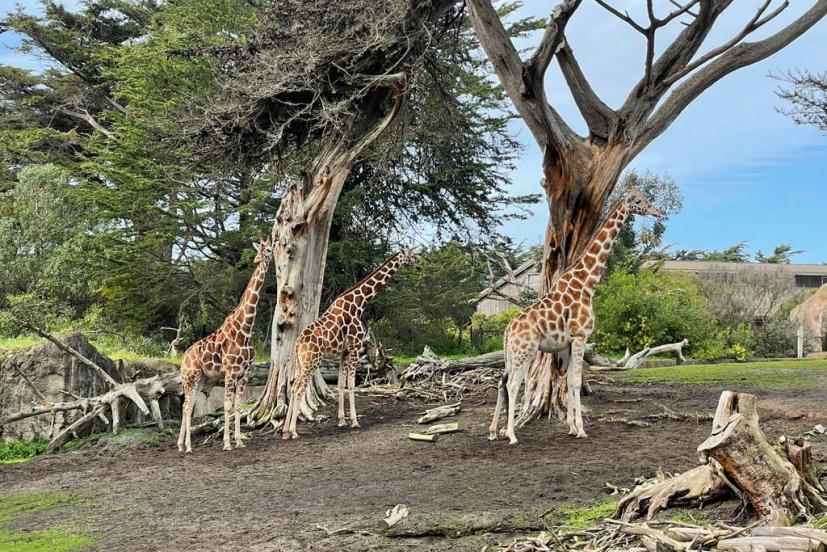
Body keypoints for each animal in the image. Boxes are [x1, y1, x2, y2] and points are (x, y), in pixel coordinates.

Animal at [178, 237, 274, 452]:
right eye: (263, 249)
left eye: (269, 248)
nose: (262, 258)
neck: (245, 329)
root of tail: (183, 359)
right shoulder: (230, 372)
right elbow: (228, 405)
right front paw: (227, 443)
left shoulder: (245, 373)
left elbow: (238, 405)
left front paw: (239, 441)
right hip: (191, 377)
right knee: (186, 406)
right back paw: (187, 446)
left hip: (201, 379)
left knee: (187, 405)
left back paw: (181, 444)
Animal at [282, 248, 418, 438]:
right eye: (411, 257)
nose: (419, 266)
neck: (359, 303)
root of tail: (297, 344)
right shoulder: (354, 348)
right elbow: (352, 385)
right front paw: (354, 421)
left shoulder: (343, 352)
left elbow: (341, 384)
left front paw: (341, 420)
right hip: (312, 361)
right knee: (298, 388)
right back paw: (293, 431)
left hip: (302, 363)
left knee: (293, 387)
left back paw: (285, 431)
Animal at [488, 188, 664, 446]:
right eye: (640, 201)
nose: (658, 212)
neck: (587, 285)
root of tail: (508, 330)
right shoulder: (581, 336)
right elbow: (577, 381)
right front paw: (581, 429)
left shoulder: (569, 344)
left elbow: (570, 381)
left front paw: (571, 427)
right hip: (525, 352)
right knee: (512, 384)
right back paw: (511, 434)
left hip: (511, 354)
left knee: (501, 382)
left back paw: (492, 431)